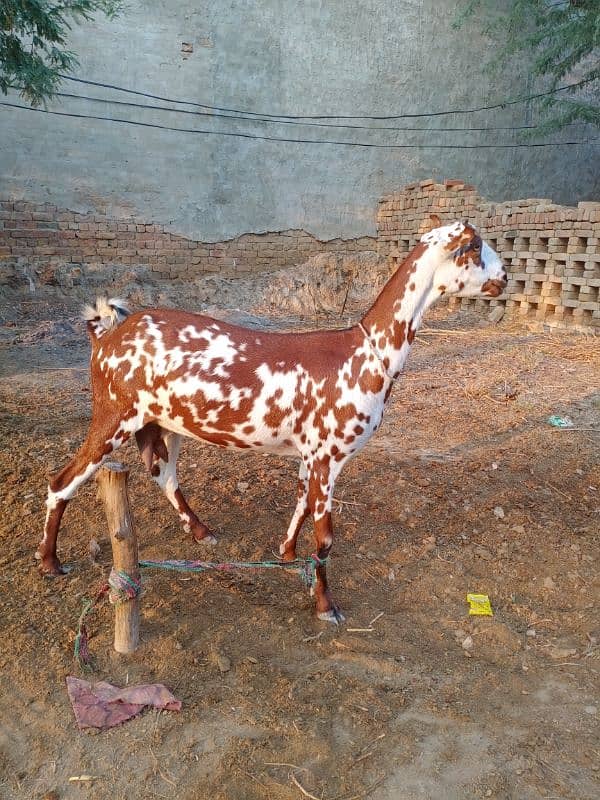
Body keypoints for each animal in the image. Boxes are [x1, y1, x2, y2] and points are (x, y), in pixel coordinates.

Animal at [37, 220, 506, 624]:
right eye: (476, 247)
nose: (505, 276)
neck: (364, 354)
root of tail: (105, 334)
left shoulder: (310, 455)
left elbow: (300, 503)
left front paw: (285, 554)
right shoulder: (329, 456)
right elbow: (326, 537)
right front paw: (325, 605)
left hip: (163, 423)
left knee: (164, 475)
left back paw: (201, 531)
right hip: (113, 414)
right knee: (63, 480)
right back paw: (49, 561)